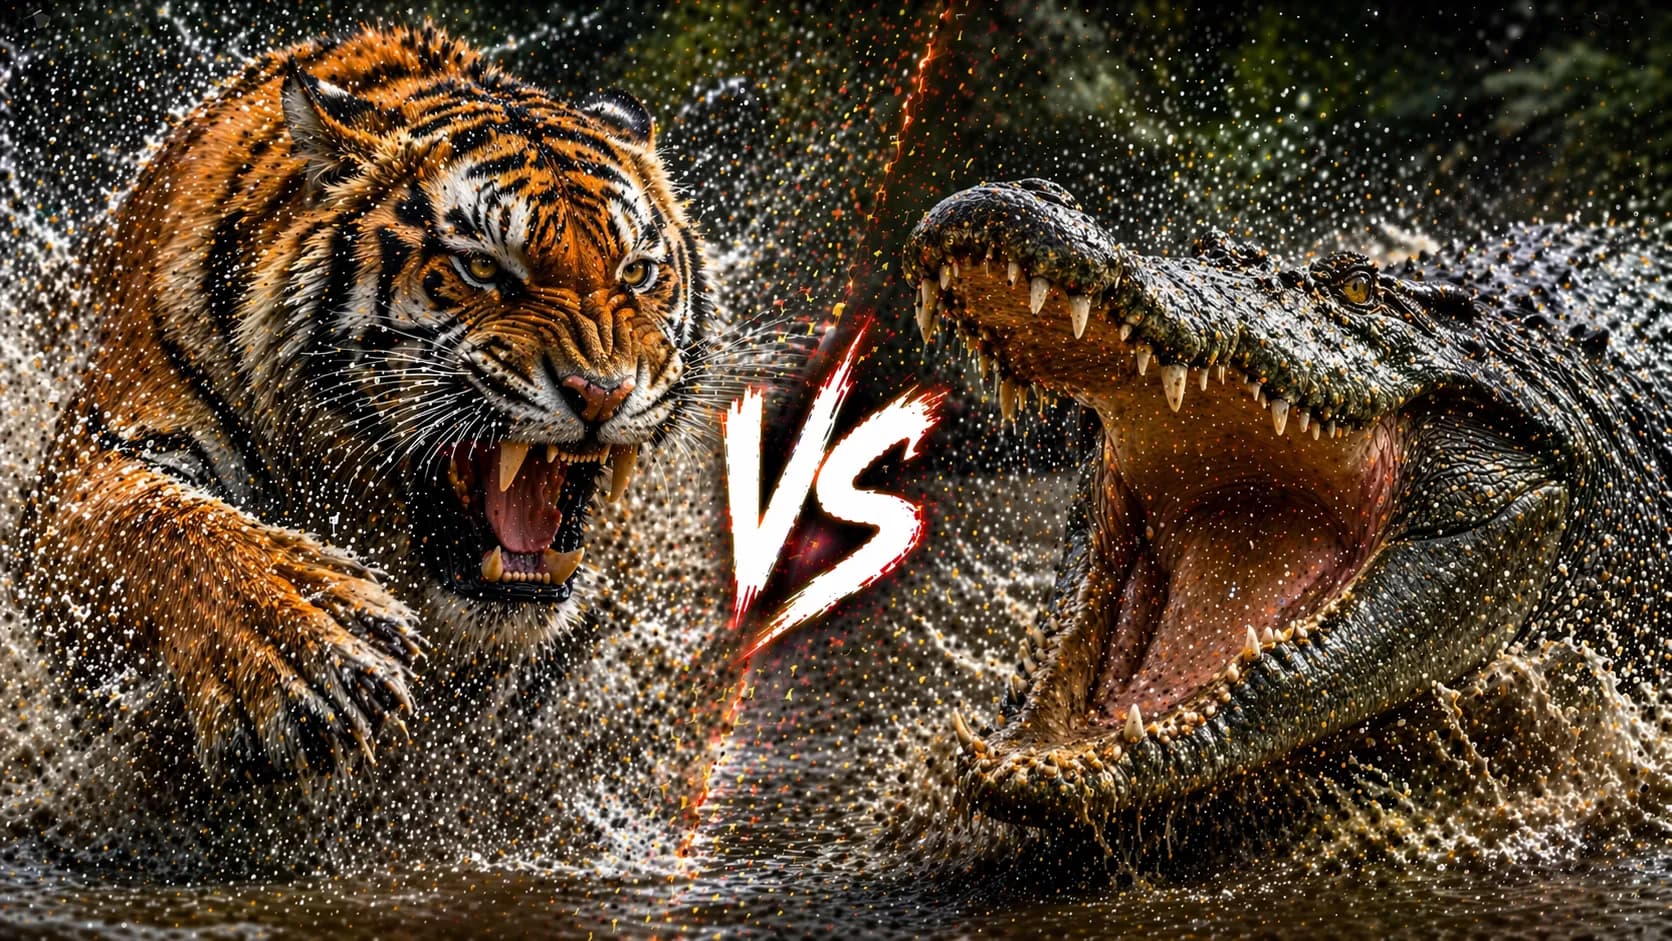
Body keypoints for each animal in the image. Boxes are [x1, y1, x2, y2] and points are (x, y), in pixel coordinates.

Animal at [17, 24, 714, 783]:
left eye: (637, 272)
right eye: (482, 267)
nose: (602, 392)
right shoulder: (84, 458)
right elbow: (162, 522)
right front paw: (308, 646)